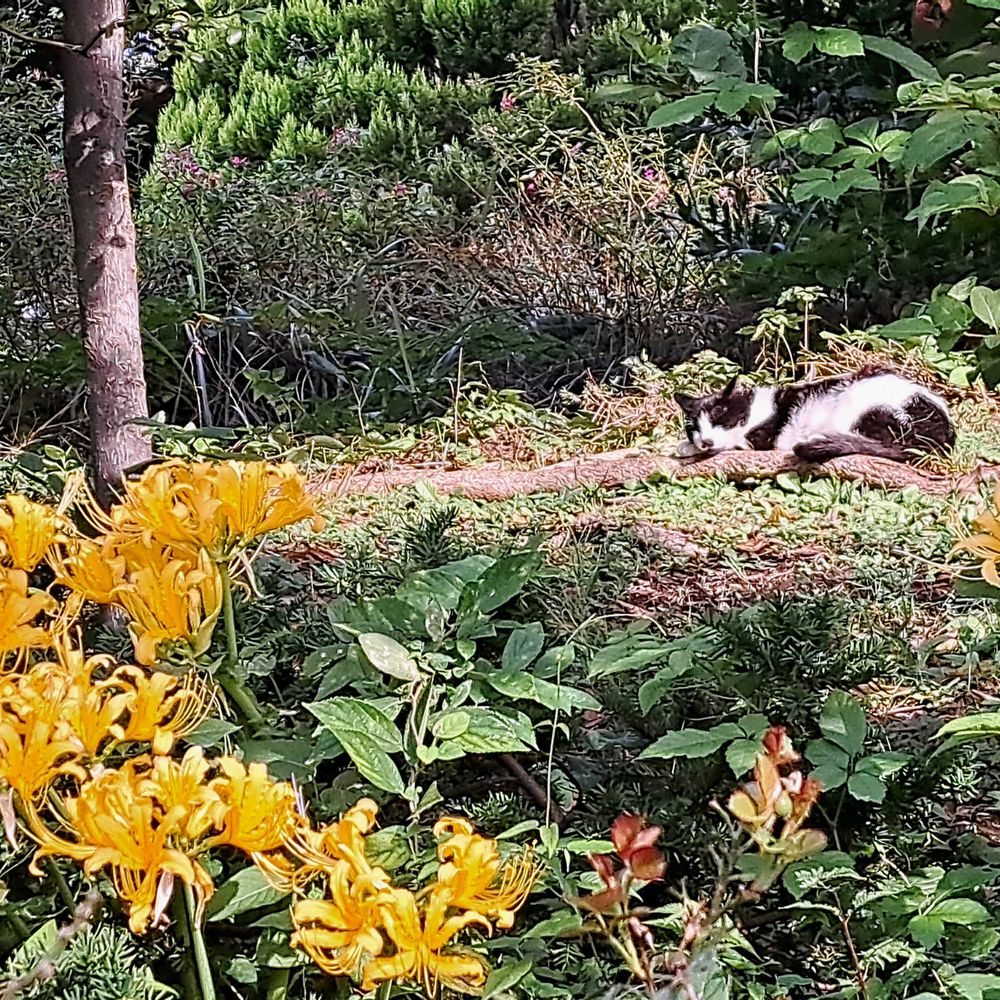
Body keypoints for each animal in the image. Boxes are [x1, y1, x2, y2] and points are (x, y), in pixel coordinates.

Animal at [672, 366, 952, 462]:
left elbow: (736, 443)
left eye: (719, 417)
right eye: (695, 427)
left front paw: (686, 448)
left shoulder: (762, 437)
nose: (705, 440)